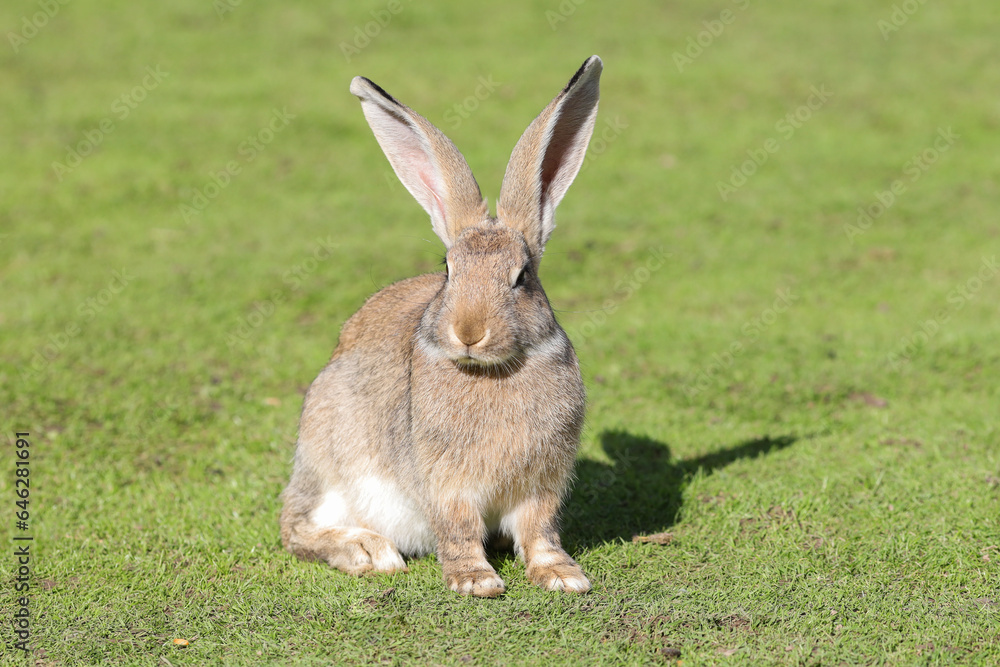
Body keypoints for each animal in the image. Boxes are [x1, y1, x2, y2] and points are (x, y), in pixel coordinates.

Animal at [279, 56, 603, 598]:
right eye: (448, 270)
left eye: (522, 277)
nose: (468, 331)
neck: (492, 371)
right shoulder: (446, 485)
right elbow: (459, 529)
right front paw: (476, 581)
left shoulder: (541, 487)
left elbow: (539, 531)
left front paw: (563, 576)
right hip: (332, 459)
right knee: (296, 527)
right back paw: (369, 552)